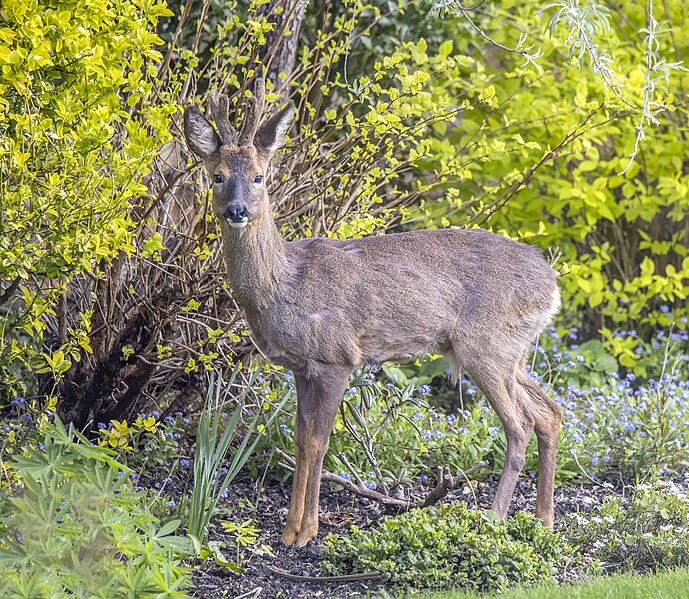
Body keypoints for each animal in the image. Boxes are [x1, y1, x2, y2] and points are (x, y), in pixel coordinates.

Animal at [181, 79, 560, 548]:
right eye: (216, 176)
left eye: (259, 176)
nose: (237, 211)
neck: (285, 284)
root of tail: (552, 285)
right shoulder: (301, 366)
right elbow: (301, 439)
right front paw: (288, 532)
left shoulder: (337, 357)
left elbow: (317, 443)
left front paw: (306, 533)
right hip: (512, 351)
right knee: (549, 413)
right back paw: (543, 520)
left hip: (486, 346)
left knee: (520, 424)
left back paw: (495, 518)